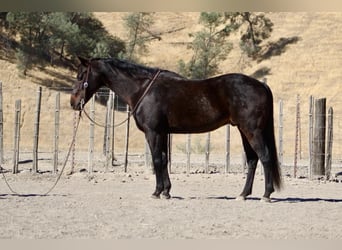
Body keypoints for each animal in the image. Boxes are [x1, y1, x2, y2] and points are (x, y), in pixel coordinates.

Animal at [71, 56, 282, 201]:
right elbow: (164, 160)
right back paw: (243, 194)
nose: (73, 102)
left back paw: (266, 194)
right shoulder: (163, 133)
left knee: (264, 157)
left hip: (252, 131)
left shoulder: (153, 132)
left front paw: (157, 192)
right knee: (253, 160)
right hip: (244, 131)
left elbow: (157, 160)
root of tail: (261, 85)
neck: (143, 90)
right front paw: (166, 191)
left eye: (81, 76)